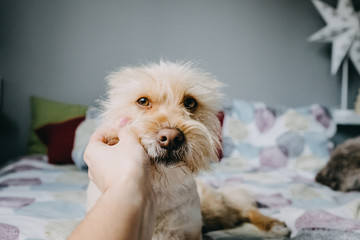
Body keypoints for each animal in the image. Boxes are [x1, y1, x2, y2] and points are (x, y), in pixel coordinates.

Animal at [86, 61, 290, 238]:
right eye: (142, 101)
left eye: (190, 103)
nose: (171, 139)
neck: (160, 188)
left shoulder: (191, 231)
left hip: (215, 207)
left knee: (244, 208)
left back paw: (274, 226)